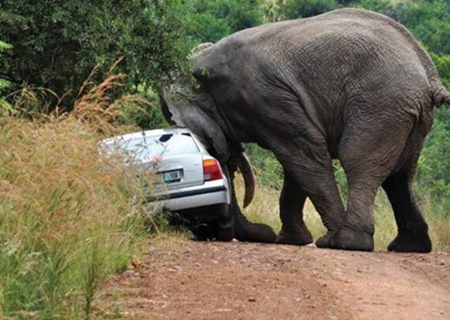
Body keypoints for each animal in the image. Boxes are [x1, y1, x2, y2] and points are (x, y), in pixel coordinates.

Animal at [161, 8, 450, 252]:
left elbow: (303, 154)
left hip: (379, 103)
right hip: (406, 112)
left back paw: (345, 243)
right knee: (400, 175)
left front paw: (316, 239)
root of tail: (429, 76)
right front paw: (292, 240)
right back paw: (408, 247)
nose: (260, 233)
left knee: (357, 160)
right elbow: (297, 163)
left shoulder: (265, 95)